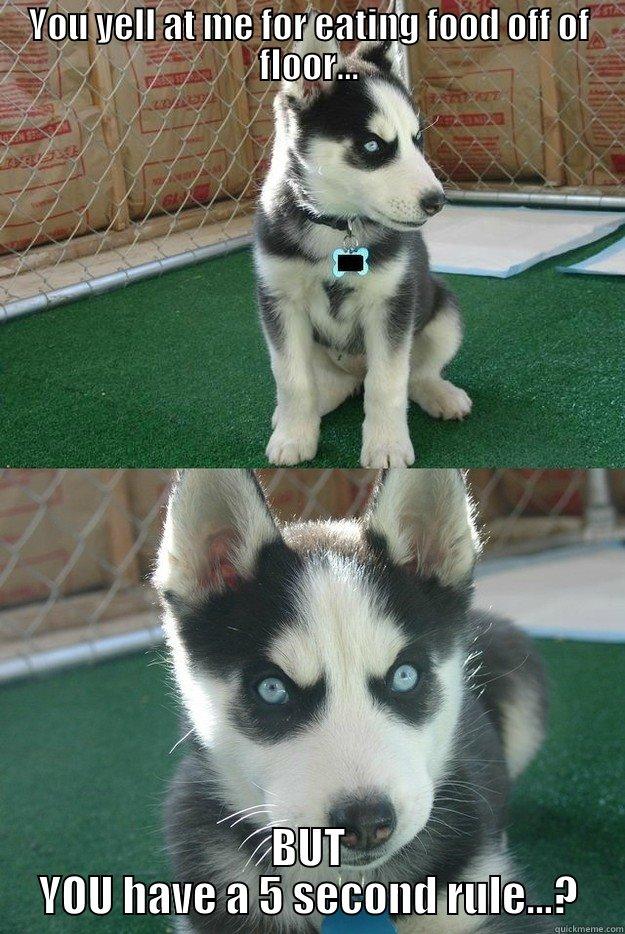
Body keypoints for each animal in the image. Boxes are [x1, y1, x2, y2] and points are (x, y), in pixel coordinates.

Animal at [251, 24, 470, 468]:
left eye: (417, 139)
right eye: (372, 146)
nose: (437, 202)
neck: (337, 225)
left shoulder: (391, 304)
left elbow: (387, 383)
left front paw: (386, 445)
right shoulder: (280, 301)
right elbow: (292, 378)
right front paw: (294, 435)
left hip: (444, 312)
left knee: (414, 375)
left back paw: (440, 394)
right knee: (329, 385)